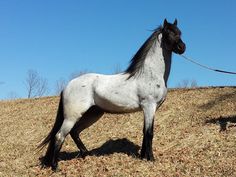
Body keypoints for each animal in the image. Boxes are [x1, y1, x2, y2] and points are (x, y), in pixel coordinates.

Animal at [37, 19, 186, 170]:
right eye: (169, 33)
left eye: (179, 32)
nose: (182, 47)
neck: (149, 75)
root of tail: (67, 86)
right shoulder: (149, 106)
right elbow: (149, 133)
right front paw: (150, 158)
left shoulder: (148, 109)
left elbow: (144, 132)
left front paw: (143, 156)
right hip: (72, 117)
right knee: (59, 136)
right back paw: (55, 166)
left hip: (92, 114)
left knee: (74, 132)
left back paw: (86, 154)